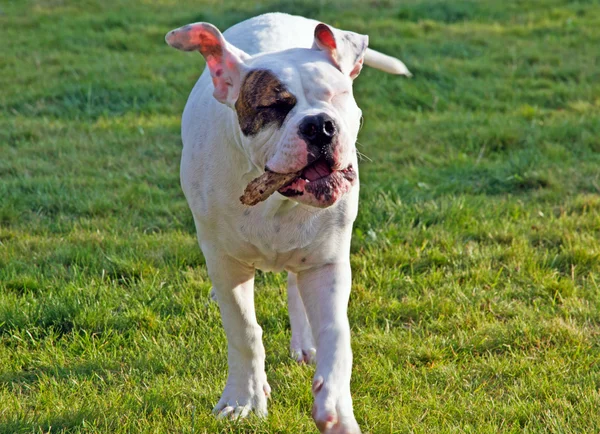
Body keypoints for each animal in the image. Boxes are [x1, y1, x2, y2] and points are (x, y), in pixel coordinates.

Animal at [166, 11, 410, 432]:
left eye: (336, 95)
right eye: (276, 107)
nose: (319, 125)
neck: (276, 200)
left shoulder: (328, 263)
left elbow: (336, 335)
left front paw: (335, 406)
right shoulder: (227, 263)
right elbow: (244, 330)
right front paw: (243, 398)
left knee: (297, 285)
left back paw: (305, 343)